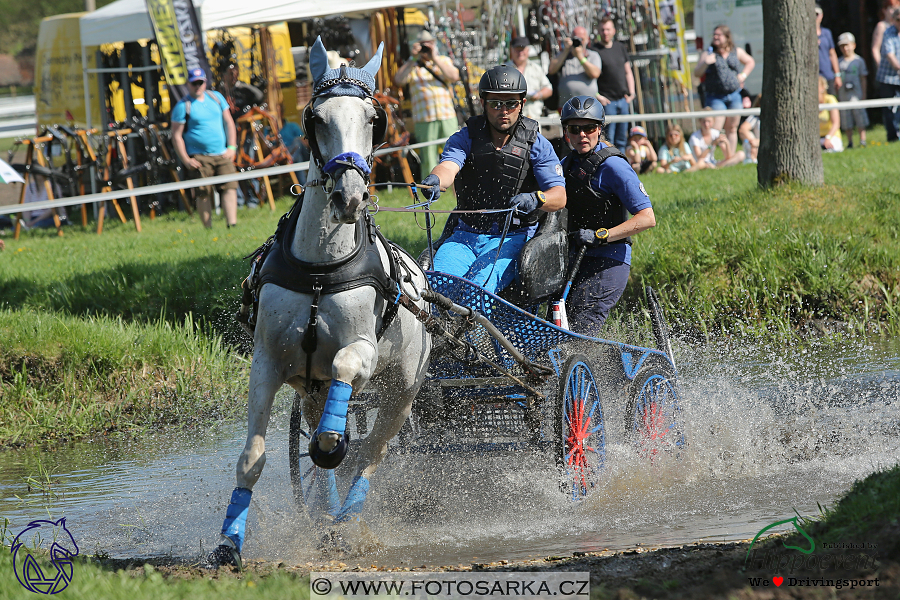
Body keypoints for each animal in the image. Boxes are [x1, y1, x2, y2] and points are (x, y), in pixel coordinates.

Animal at [206, 37, 430, 568]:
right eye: (317, 118)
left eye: (373, 119)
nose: (349, 196)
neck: (320, 272)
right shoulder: (267, 362)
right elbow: (254, 458)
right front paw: (228, 543)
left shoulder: (360, 352)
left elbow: (341, 409)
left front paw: (335, 453)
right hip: (310, 391)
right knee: (324, 442)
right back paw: (327, 512)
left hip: (402, 393)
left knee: (371, 452)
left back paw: (345, 519)